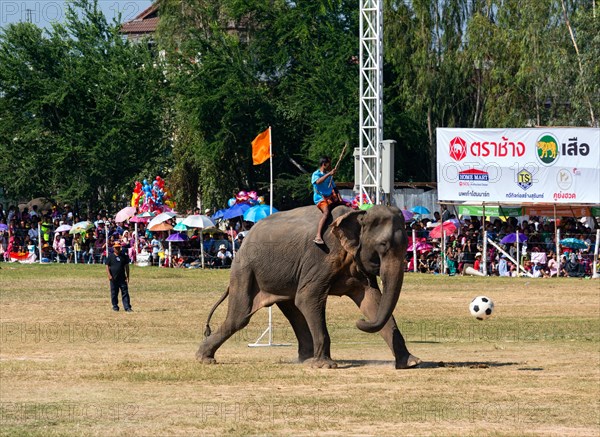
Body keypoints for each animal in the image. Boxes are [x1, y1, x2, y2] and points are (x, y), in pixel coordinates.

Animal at [198, 204, 422, 368]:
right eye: (383, 245)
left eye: (406, 246)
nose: (359, 322)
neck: (357, 214)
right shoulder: (321, 257)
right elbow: (309, 297)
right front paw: (326, 366)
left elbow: (372, 302)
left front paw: (411, 362)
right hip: (245, 270)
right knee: (240, 316)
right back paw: (204, 358)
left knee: (293, 309)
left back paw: (306, 359)